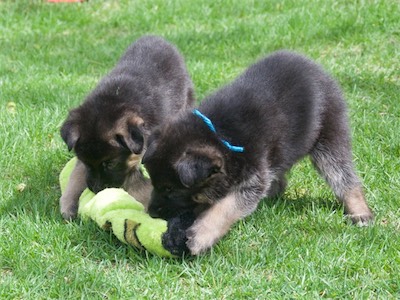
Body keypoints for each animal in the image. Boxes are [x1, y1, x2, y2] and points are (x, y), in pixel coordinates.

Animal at [59, 36, 195, 221]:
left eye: (110, 163)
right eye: (87, 163)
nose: (96, 190)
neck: (114, 100)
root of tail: (156, 38)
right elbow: (77, 174)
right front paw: (69, 203)